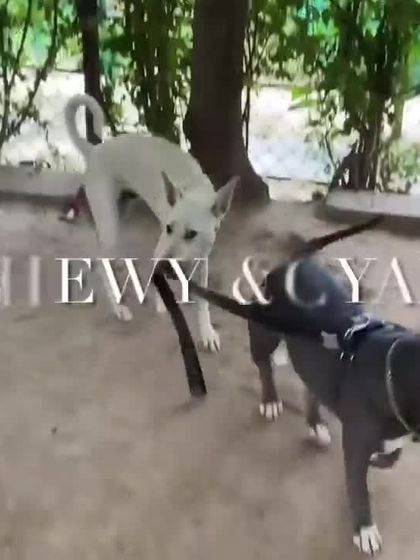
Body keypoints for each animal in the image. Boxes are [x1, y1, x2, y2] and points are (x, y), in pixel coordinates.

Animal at [64, 93, 238, 352]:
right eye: (169, 228)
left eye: (191, 234)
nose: (165, 266)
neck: (194, 190)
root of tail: (96, 150)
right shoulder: (161, 249)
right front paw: (162, 303)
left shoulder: (202, 258)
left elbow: (202, 302)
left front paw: (207, 332)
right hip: (110, 221)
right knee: (101, 261)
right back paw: (118, 307)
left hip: (119, 212)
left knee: (99, 255)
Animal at [187, 217, 420, 555]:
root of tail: (288, 266)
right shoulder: (355, 448)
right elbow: (358, 491)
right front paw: (364, 530)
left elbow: (391, 456)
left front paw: (382, 459)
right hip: (263, 335)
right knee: (264, 369)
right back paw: (271, 400)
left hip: (312, 358)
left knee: (311, 386)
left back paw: (315, 423)